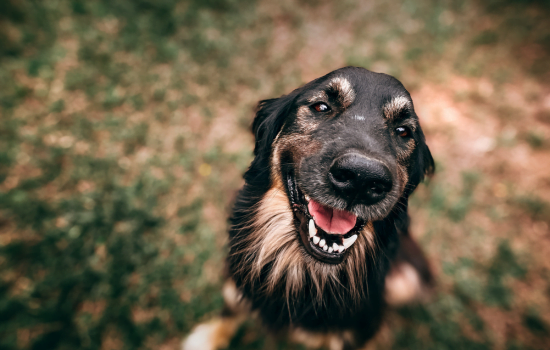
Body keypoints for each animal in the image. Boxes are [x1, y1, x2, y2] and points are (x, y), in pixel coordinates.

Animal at [184, 67, 436, 348]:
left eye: (403, 131)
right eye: (321, 106)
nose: (361, 178)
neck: (303, 270)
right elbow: (231, 304)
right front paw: (210, 336)